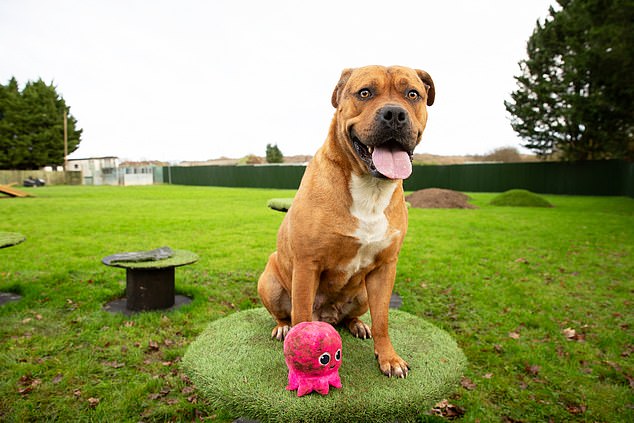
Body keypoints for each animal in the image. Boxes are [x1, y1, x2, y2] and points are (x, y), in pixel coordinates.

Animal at [256, 65, 434, 378]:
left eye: (413, 94)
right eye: (365, 93)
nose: (394, 114)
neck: (370, 188)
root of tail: (328, 315)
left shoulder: (385, 268)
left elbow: (383, 318)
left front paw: (388, 357)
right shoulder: (307, 264)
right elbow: (301, 314)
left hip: (362, 292)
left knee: (354, 316)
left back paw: (358, 325)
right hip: (270, 282)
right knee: (287, 314)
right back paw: (282, 328)